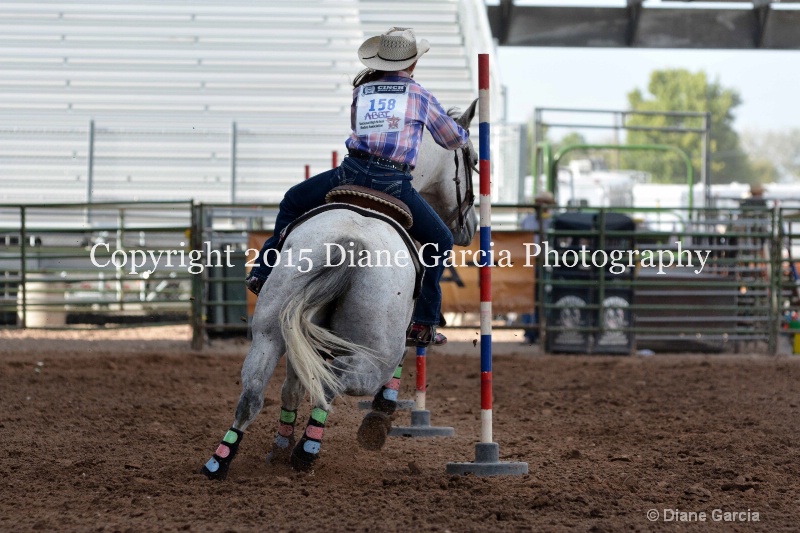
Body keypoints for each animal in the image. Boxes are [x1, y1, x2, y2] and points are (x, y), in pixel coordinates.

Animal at [202, 101, 476, 478]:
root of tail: (352, 243)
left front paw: (281, 441)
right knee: (334, 382)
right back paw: (308, 450)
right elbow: (404, 357)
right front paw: (380, 416)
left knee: (255, 392)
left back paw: (222, 459)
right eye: (473, 160)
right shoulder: (402, 329)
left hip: (271, 330)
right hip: (376, 350)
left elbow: (292, 387)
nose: (470, 227)